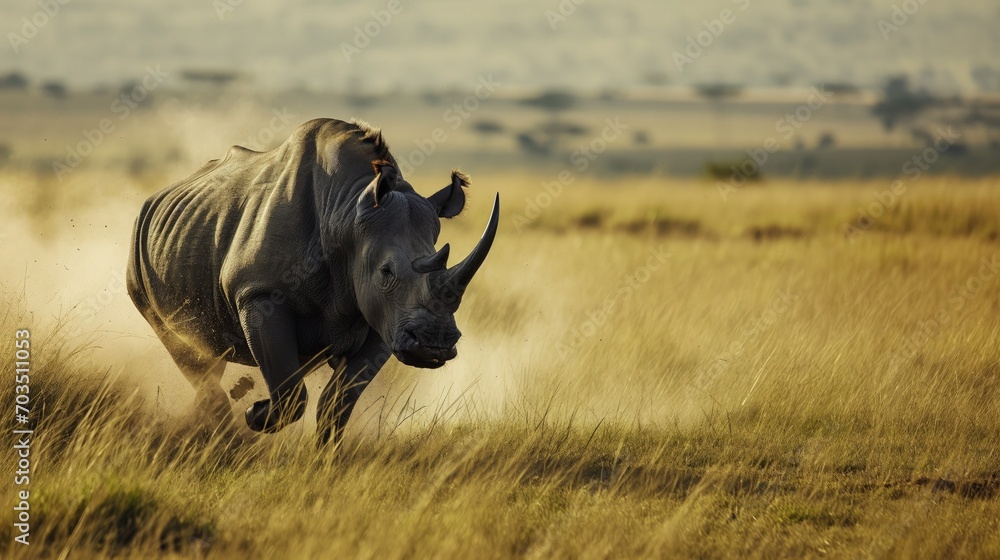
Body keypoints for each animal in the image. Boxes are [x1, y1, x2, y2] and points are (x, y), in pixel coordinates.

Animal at [126, 118, 499, 445]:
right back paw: (224, 430)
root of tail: (158, 195)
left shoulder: (384, 320)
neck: (347, 213)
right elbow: (291, 394)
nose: (433, 343)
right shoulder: (258, 295)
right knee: (183, 345)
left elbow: (337, 403)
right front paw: (254, 414)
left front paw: (325, 461)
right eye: (386, 272)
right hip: (138, 254)